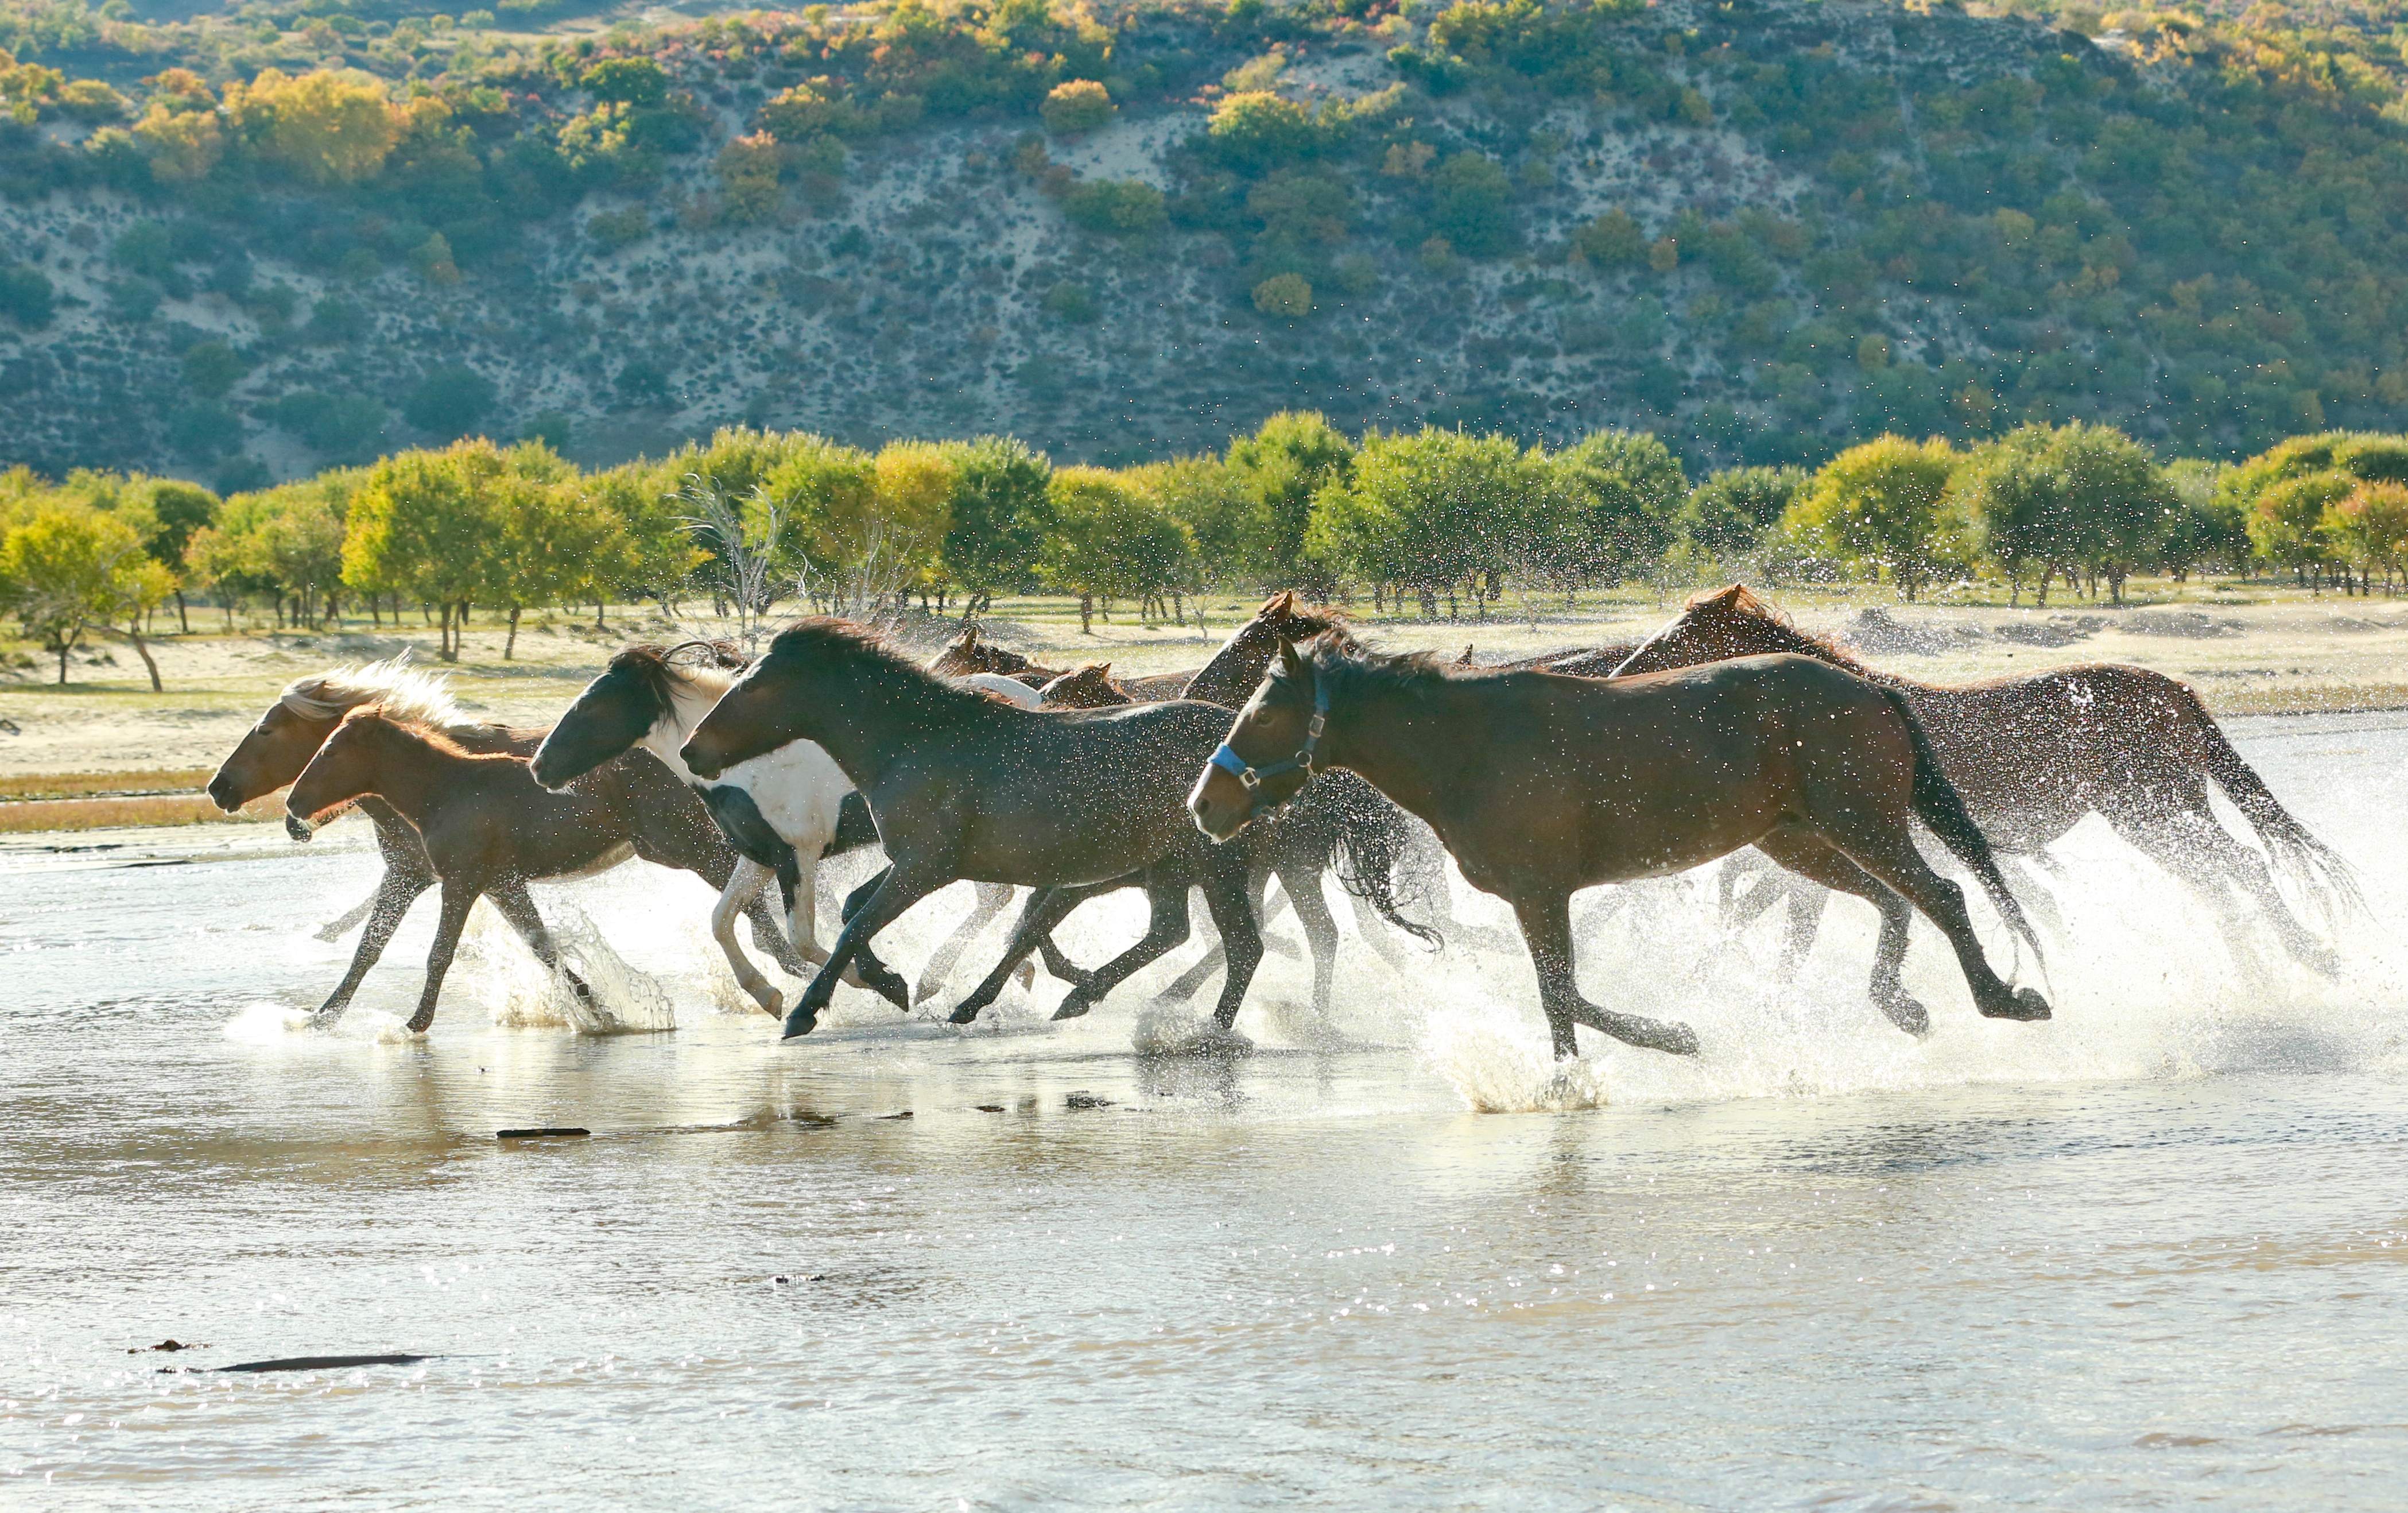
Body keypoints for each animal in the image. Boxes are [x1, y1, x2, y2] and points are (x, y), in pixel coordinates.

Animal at [1189, 636, 2052, 1050]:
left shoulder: (1540, 894)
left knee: (1940, 894)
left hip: (1861, 826)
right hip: (1800, 842)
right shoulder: (1536, 899)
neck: (1471, 744)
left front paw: (1667, 1039)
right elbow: (1560, 997)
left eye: (1264, 713)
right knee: (1892, 903)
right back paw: (1899, 1004)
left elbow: (1561, 994)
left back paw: (2003, 998)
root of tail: (1871, 688)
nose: (1203, 805)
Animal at [1599, 585, 2350, 973]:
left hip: (2155, 813)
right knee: (2221, 886)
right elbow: (1764, 921)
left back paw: (2310, 957)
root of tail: (2176, 688)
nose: (1618, 675)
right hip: (2155, 821)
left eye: (1678, 635)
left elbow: (1768, 923)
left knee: (2243, 868)